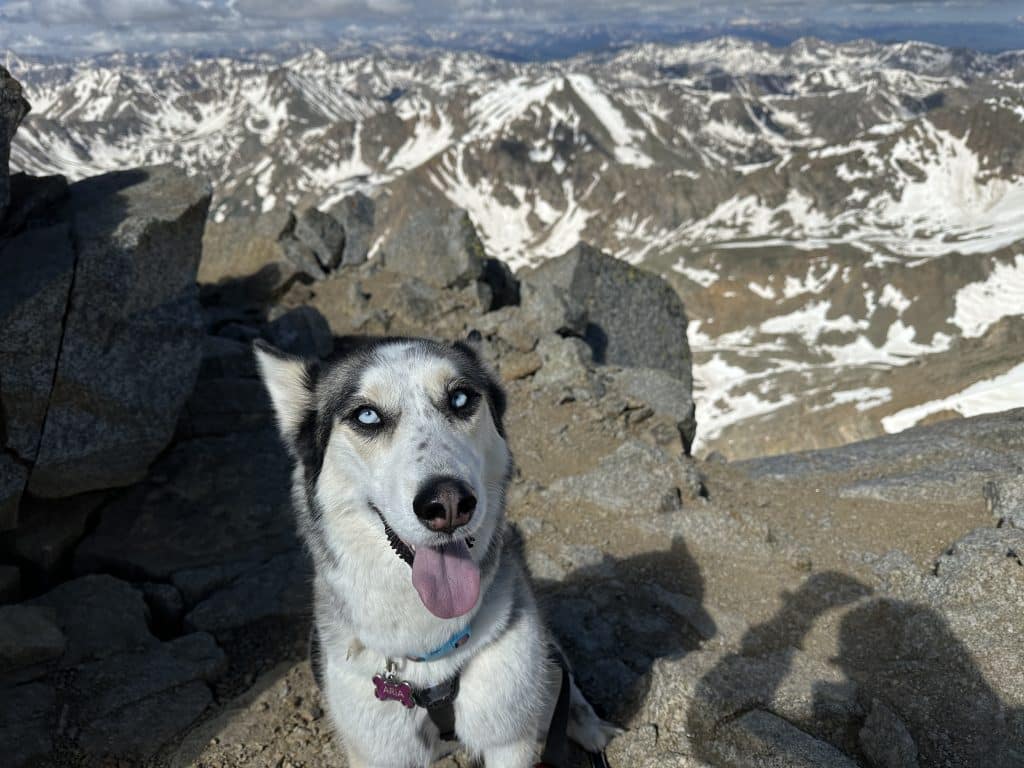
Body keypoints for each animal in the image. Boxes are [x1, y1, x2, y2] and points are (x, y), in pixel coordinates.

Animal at [253, 335, 614, 768]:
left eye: (460, 399)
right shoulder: (378, 750)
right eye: (367, 416)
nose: (449, 504)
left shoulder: (509, 738)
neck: (430, 656)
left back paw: (588, 726)